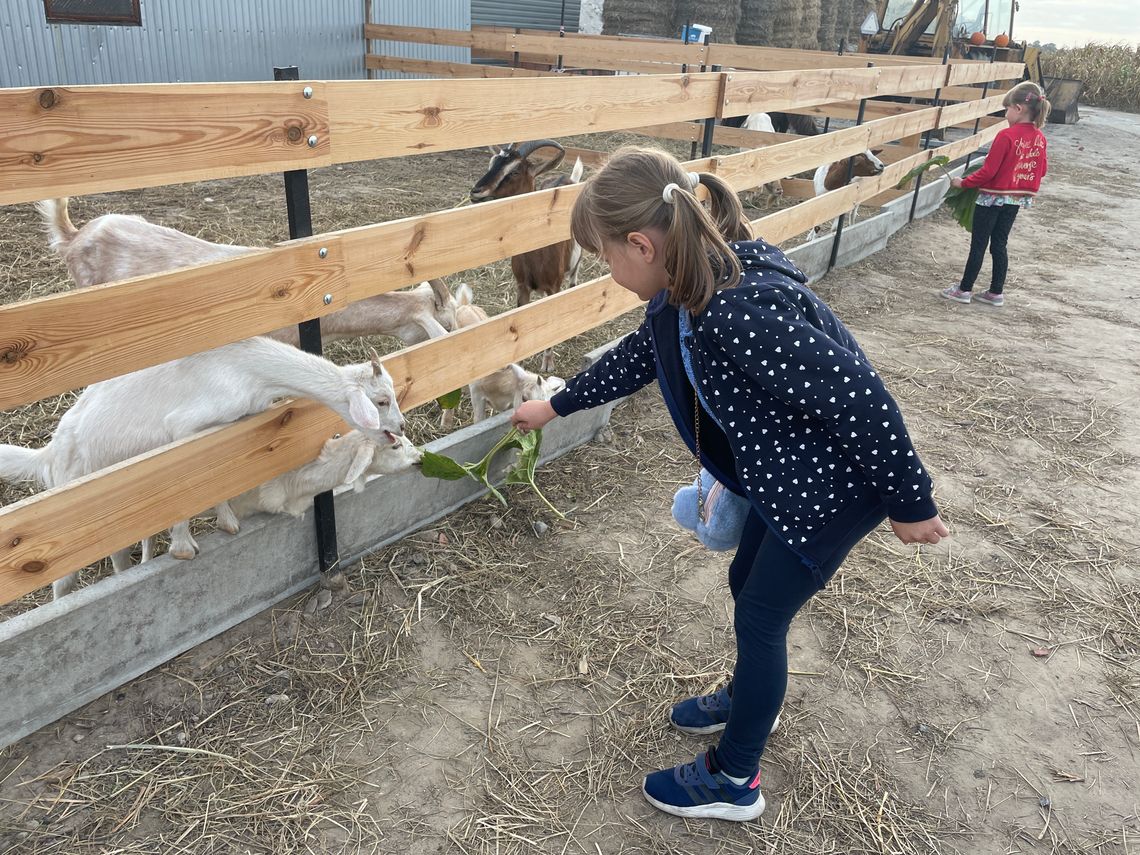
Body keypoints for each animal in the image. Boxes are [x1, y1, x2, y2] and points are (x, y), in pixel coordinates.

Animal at [0, 337, 405, 597]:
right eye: (382, 400)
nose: (401, 428)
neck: (250, 370)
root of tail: (49, 455)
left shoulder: (228, 429)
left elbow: (221, 480)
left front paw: (227, 522)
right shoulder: (185, 428)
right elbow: (192, 486)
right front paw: (183, 547)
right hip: (72, 510)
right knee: (72, 576)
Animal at [437, 288, 567, 430]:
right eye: (524, 398)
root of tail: (465, 305)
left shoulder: (507, 401)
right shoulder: (476, 394)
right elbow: (478, 420)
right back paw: (446, 423)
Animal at [467, 141, 583, 373]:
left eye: (514, 171)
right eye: (492, 163)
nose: (476, 191)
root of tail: (569, 180)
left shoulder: (553, 287)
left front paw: (548, 363)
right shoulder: (521, 286)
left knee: (574, 278)